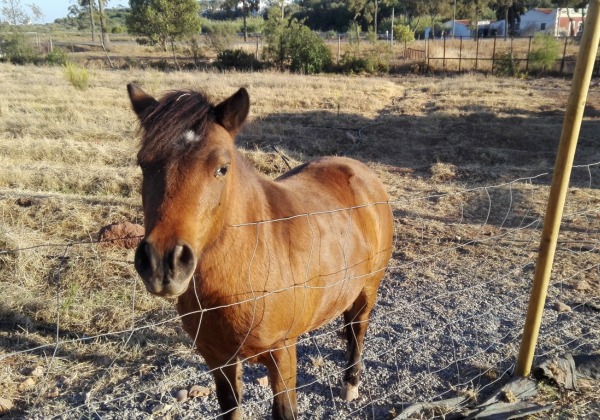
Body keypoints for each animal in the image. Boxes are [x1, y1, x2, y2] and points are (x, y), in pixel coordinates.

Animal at [126, 83, 394, 418]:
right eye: (143, 163)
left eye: (222, 168)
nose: (163, 264)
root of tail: (360, 171)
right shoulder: (218, 359)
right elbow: (230, 408)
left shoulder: (282, 353)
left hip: (369, 287)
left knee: (358, 330)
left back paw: (351, 383)